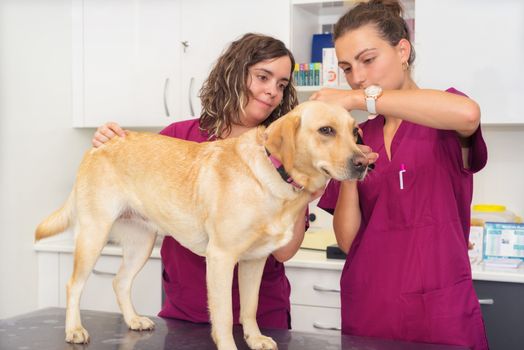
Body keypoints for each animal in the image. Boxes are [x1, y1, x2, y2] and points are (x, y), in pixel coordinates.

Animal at [34, 100, 370, 348]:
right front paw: (229, 346)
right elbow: (224, 316)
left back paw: (133, 320)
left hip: (141, 243)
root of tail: (97, 146)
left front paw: (255, 339)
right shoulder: (220, 258)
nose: (365, 163)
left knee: (120, 282)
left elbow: (249, 308)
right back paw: (74, 330)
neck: (275, 175)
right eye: (326, 130)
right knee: (74, 285)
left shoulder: (255, 261)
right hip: (94, 235)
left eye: (355, 133)